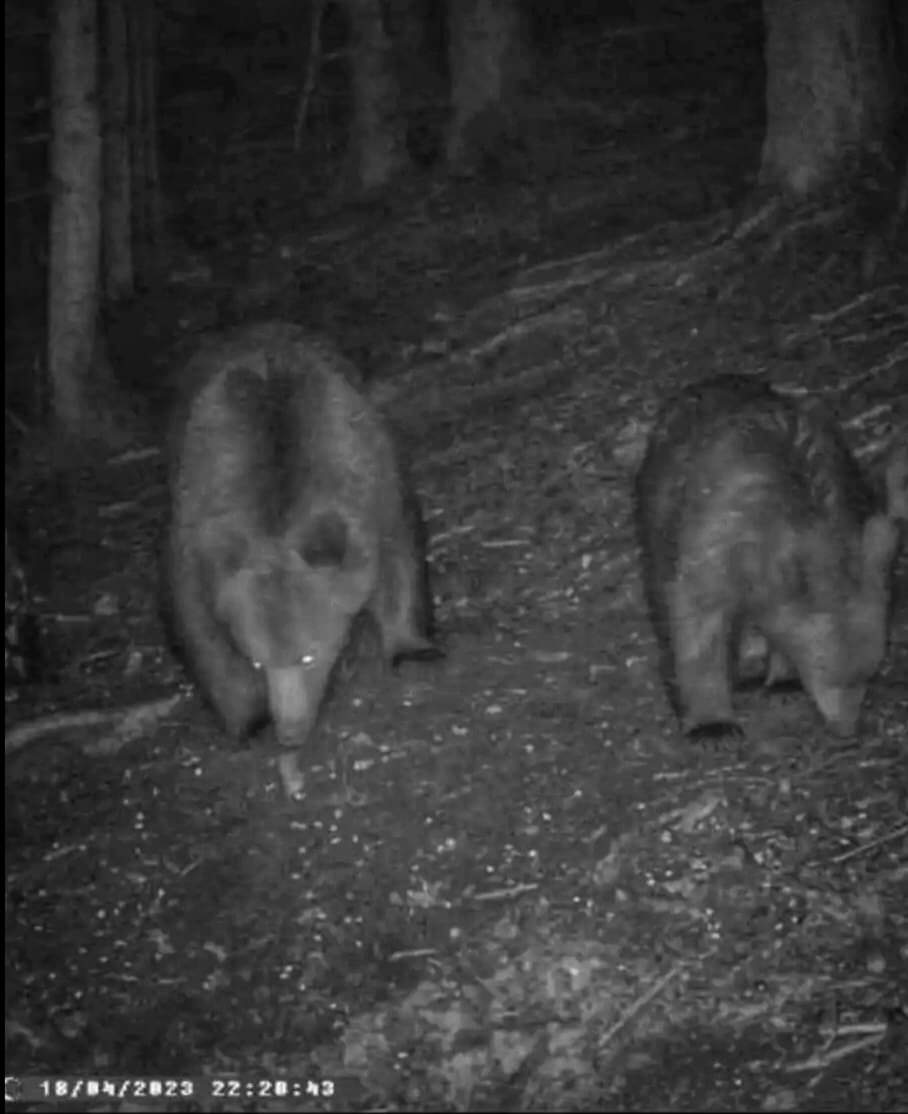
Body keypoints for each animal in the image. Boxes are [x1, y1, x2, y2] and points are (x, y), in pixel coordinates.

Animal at [168, 320, 441, 748]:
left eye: (309, 655)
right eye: (257, 660)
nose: (291, 730)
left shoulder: (372, 478)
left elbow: (399, 558)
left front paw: (413, 649)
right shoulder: (195, 537)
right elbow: (201, 631)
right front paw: (250, 719)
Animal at [637, 374, 904, 739]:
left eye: (870, 672)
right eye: (826, 670)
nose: (847, 729)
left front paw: (784, 677)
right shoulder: (714, 540)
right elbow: (697, 616)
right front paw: (711, 723)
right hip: (658, 514)